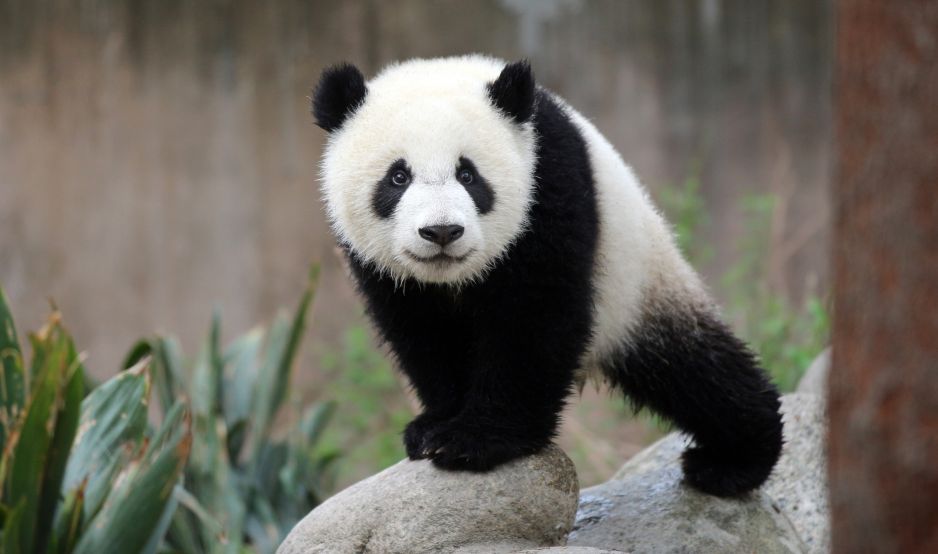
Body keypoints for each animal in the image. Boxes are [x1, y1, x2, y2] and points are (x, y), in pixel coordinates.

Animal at [312, 55, 783, 497]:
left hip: (637, 281)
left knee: (694, 368)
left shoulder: (549, 184)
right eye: (398, 176)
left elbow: (535, 318)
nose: (442, 231)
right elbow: (421, 332)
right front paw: (434, 427)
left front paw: (476, 439)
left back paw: (733, 460)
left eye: (468, 174)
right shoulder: (383, 269)